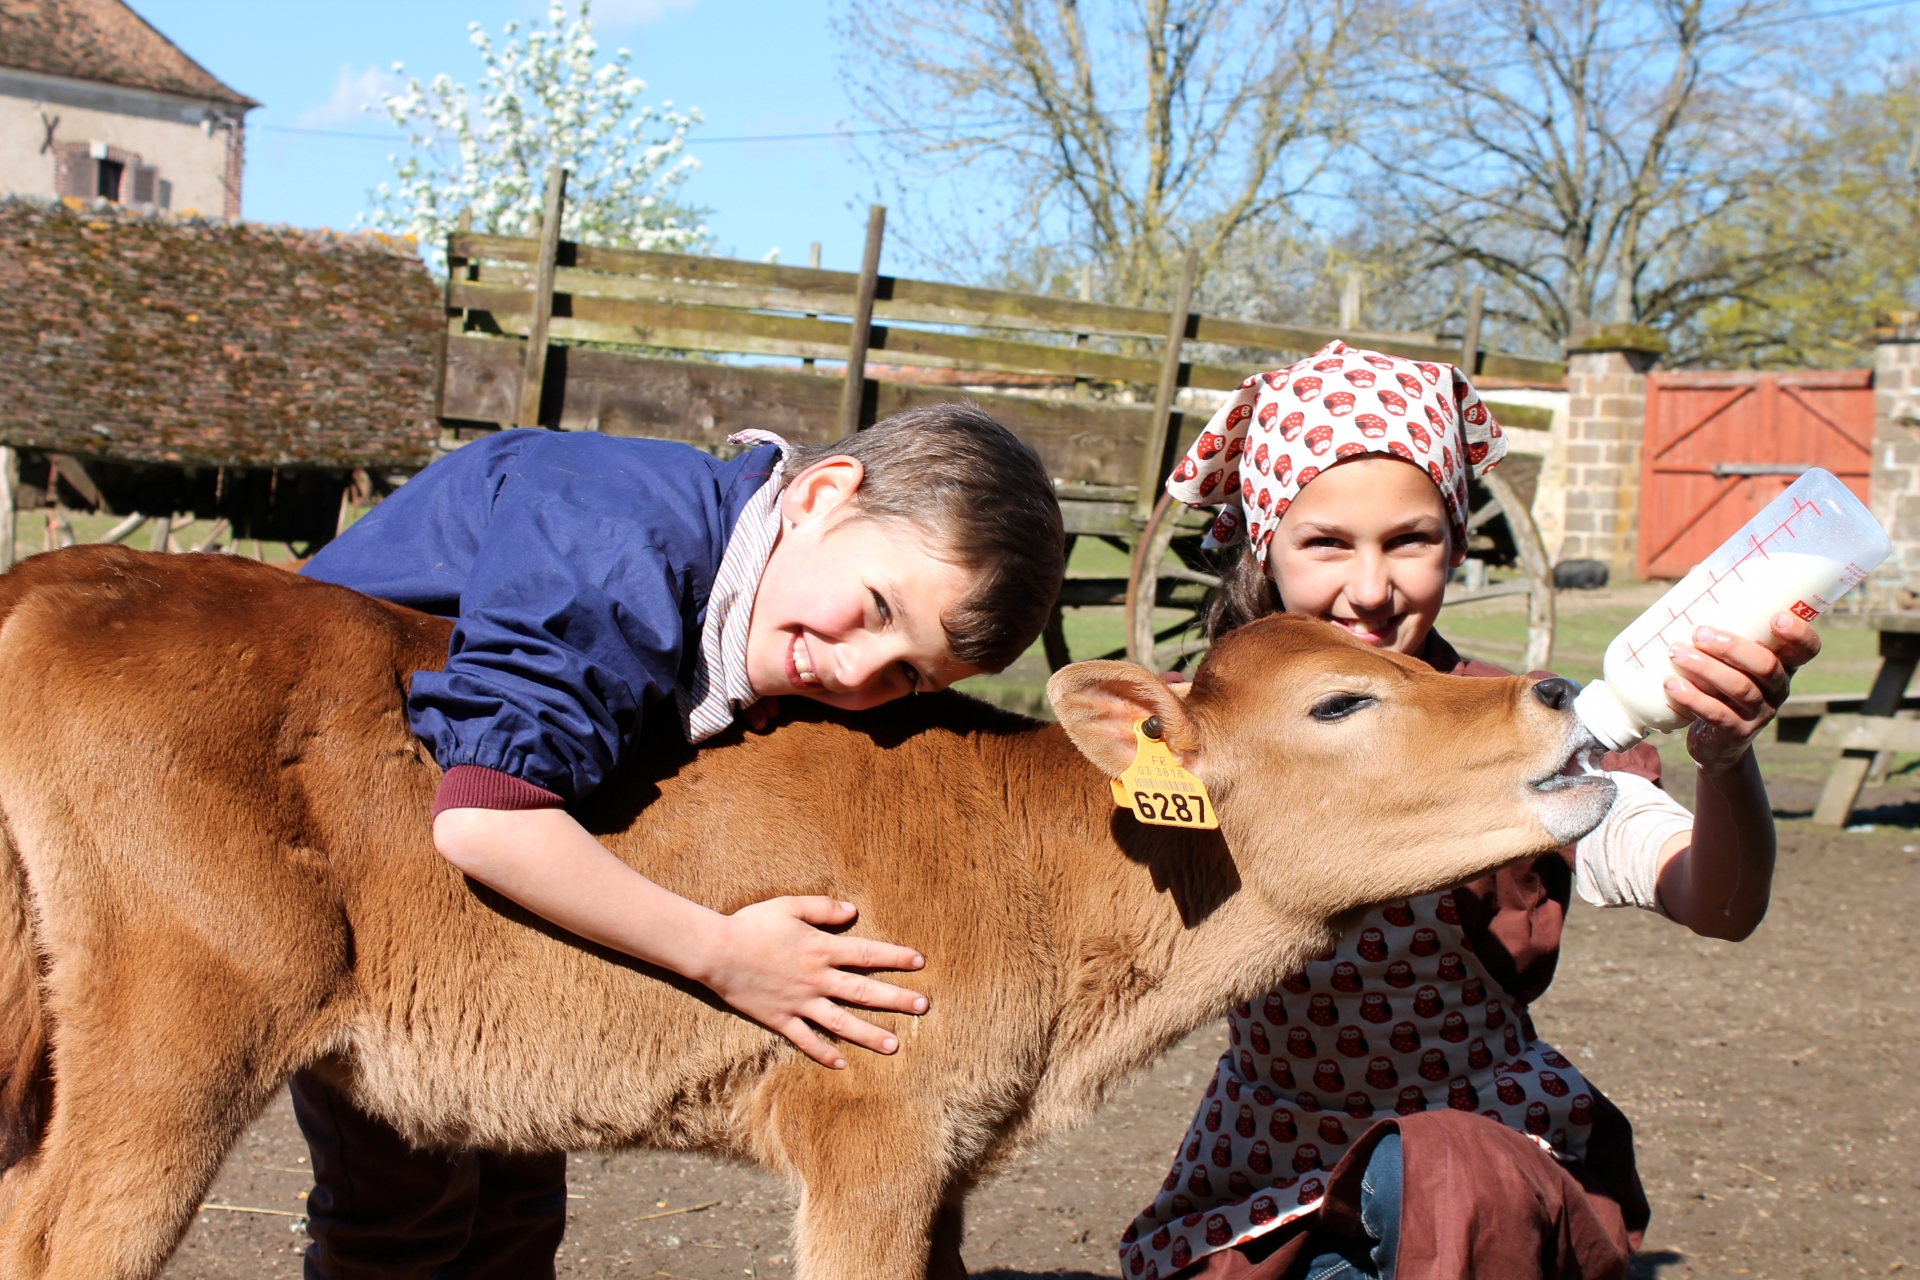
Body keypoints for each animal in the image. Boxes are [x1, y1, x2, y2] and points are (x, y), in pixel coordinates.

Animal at [0, 552, 1620, 1280]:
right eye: (1342, 700)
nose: (1555, 688)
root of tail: (67, 572)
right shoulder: (872, 1141)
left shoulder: (950, 1156)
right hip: (179, 1038)